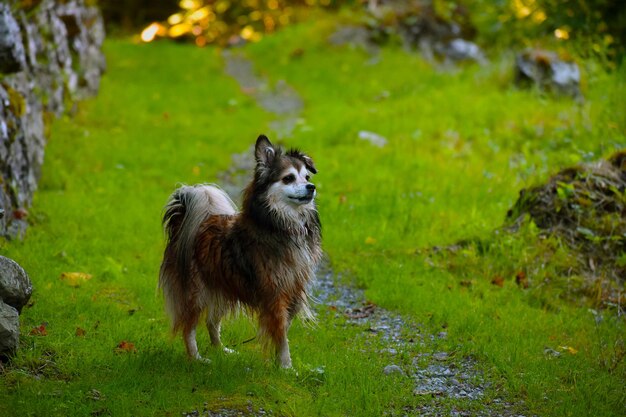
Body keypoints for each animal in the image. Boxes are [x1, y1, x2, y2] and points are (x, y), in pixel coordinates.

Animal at [156, 134, 322, 368]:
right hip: (195, 292)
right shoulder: (275, 293)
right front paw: (286, 366)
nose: (311, 186)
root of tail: (185, 223)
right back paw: (196, 358)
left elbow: (282, 329)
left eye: (306, 176)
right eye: (288, 178)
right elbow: (280, 333)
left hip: (221, 287)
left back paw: (221, 350)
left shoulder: (293, 290)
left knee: (212, 322)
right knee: (189, 327)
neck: (281, 224)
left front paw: (278, 362)